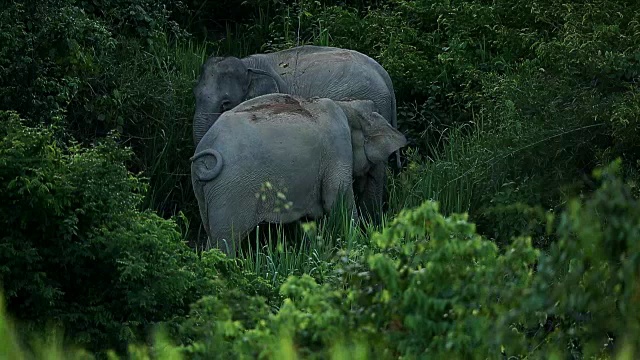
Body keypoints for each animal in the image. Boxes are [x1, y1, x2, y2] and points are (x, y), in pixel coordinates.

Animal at [192, 93, 408, 256]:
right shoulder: (337, 147)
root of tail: (205, 150)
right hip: (231, 190)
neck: (346, 106)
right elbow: (336, 199)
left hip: (204, 191)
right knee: (225, 241)